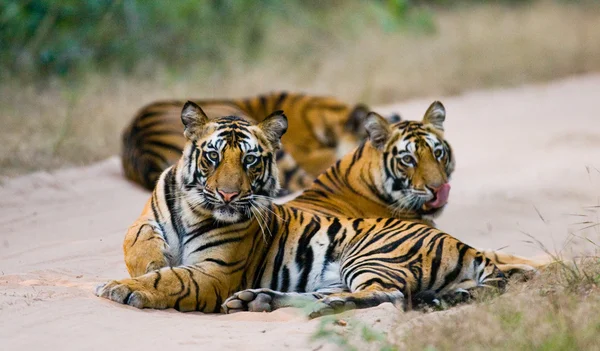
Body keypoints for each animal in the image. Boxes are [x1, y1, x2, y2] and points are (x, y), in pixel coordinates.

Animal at [95, 103, 516, 318]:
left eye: (250, 161)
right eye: (212, 156)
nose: (228, 196)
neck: (193, 210)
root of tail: (462, 244)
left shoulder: (214, 273)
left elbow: (171, 280)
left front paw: (125, 287)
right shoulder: (148, 219)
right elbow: (137, 239)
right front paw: (148, 264)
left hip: (372, 257)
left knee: (392, 296)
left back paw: (330, 304)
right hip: (335, 274)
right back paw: (258, 299)